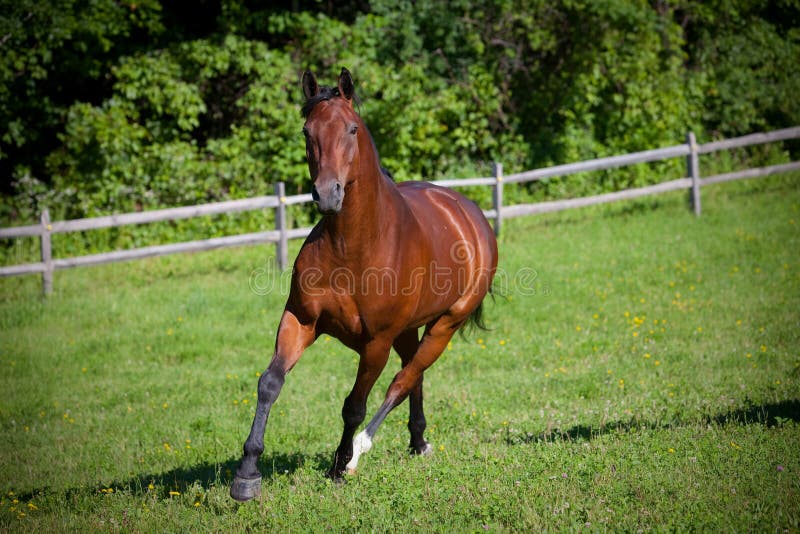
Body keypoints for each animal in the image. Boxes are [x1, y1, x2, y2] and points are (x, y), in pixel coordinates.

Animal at [228, 68, 496, 502]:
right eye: (307, 131)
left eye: (352, 129)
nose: (327, 194)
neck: (352, 248)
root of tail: (469, 212)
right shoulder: (300, 320)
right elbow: (270, 383)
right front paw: (247, 475)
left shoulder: (375, 342)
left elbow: (354, 404)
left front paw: (339, 466)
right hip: (408, 331)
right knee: (414, 376)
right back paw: (417, 442)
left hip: (444, 325)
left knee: (403, 381)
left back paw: (360, 451)